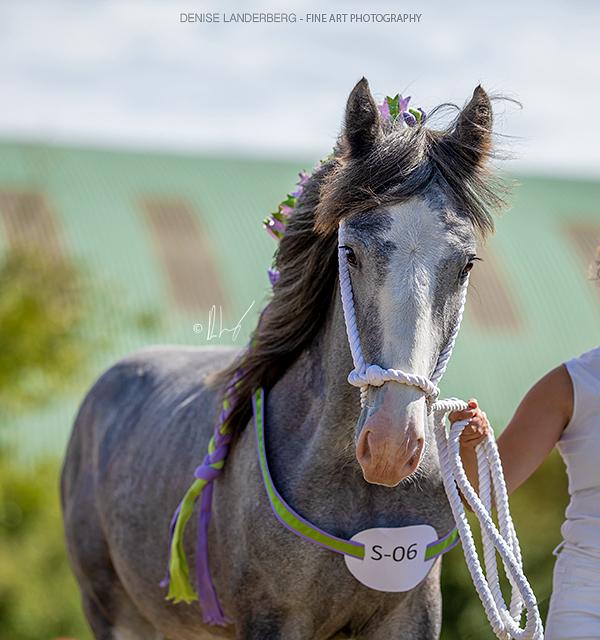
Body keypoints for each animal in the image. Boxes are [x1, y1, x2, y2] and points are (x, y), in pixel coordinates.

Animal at [62, 77, 502, 636]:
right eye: (350, 253)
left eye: (467, 264)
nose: (389, 445)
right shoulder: (274, 619)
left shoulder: (410, 614)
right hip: (111, 611)